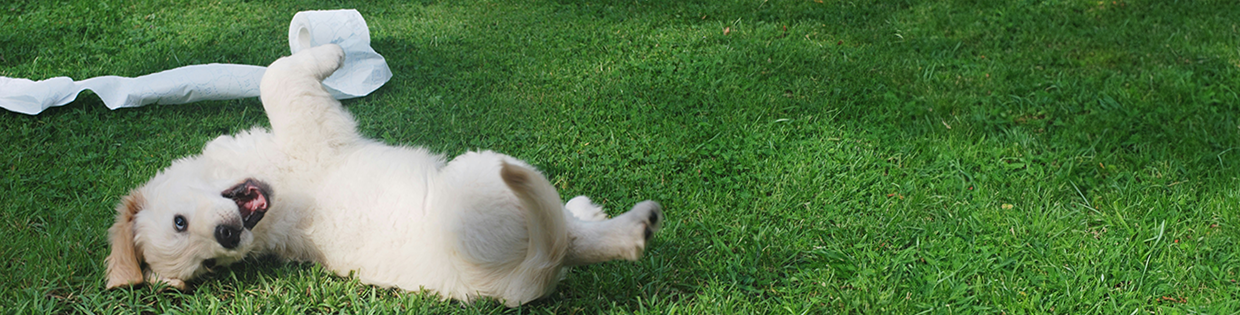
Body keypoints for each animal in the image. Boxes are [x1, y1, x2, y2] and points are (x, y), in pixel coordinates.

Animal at [105, 43, 664, 305]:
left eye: (180, 223)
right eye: (209, 264)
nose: (227, 239)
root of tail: (520, 282)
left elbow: (276, 73)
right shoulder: (309, 126)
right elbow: (276, 77)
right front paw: (333, 53)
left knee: (571, 231)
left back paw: (590, 210)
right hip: (484, 178)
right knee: (571, 238)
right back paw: (633, 227)